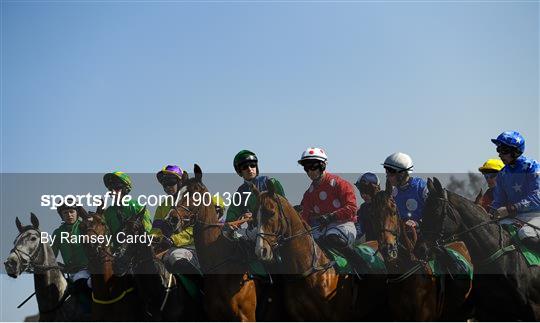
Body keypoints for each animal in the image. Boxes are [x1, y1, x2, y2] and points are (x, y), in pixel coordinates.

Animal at [251, 178, 386, 322]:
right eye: (254, 217)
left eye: (271, 213)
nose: (261, 251)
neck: (310, 268)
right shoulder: (299, 317)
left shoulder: (337, 316)